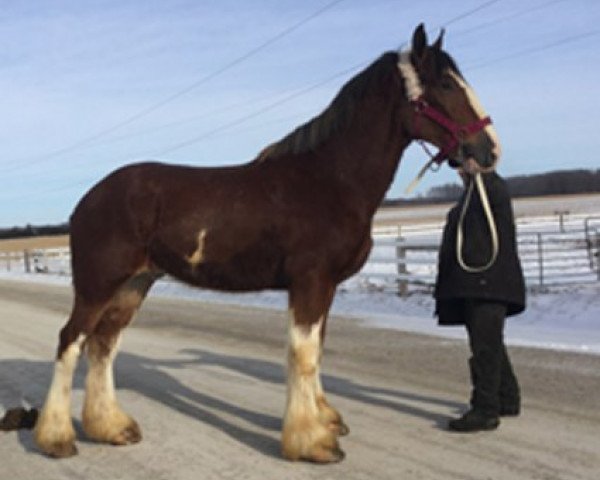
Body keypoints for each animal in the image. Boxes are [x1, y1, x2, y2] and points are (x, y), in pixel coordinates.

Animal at [32, 24, 502, 464]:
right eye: (446, 85)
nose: (489, 149)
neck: (331, 179)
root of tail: (89, 199)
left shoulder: (325, 286)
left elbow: (317, 349)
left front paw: (325, 421)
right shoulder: (310, 281)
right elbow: (303, 354)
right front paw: (312, 442)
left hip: (135, 284)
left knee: (103, 344)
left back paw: (111, 427)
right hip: (98, 285)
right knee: (70, 341)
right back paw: (57, 438)